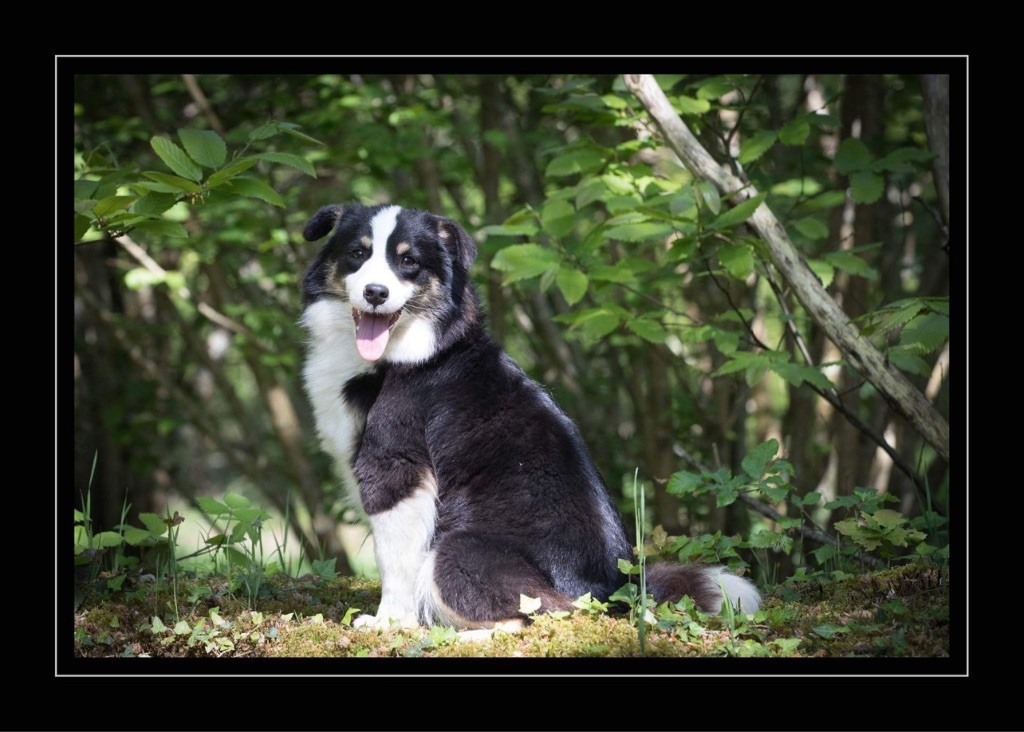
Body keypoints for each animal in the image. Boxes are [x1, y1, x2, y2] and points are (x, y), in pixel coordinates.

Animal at [299, 203, 757, 626]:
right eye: (357, 253)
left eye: (408, 261)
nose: (375, 292)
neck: (417, 350)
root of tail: (613, 592)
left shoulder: (396, 469)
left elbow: (394, 561)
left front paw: (388, 623)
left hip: (456, 550)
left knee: (534, 617)